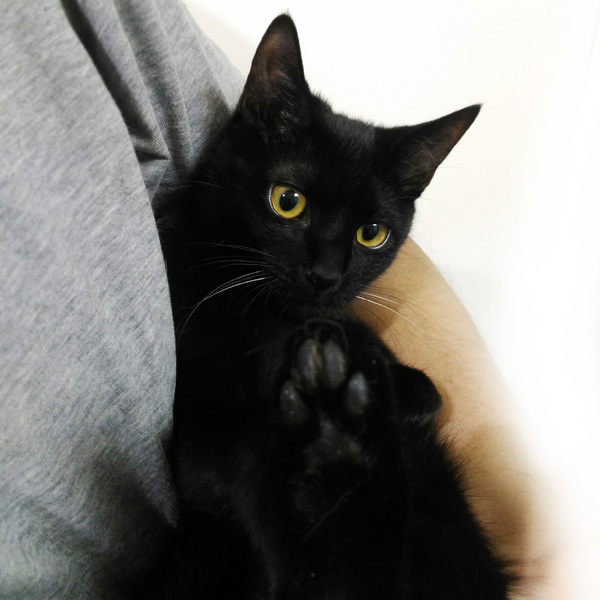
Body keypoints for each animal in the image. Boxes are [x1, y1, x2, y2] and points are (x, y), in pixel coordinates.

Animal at [149, 13, 509, 600]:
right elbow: (239, 459)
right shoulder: (200, 413)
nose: (326, 276)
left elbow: (421, 391)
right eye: (287, 200)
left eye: (372, 234)